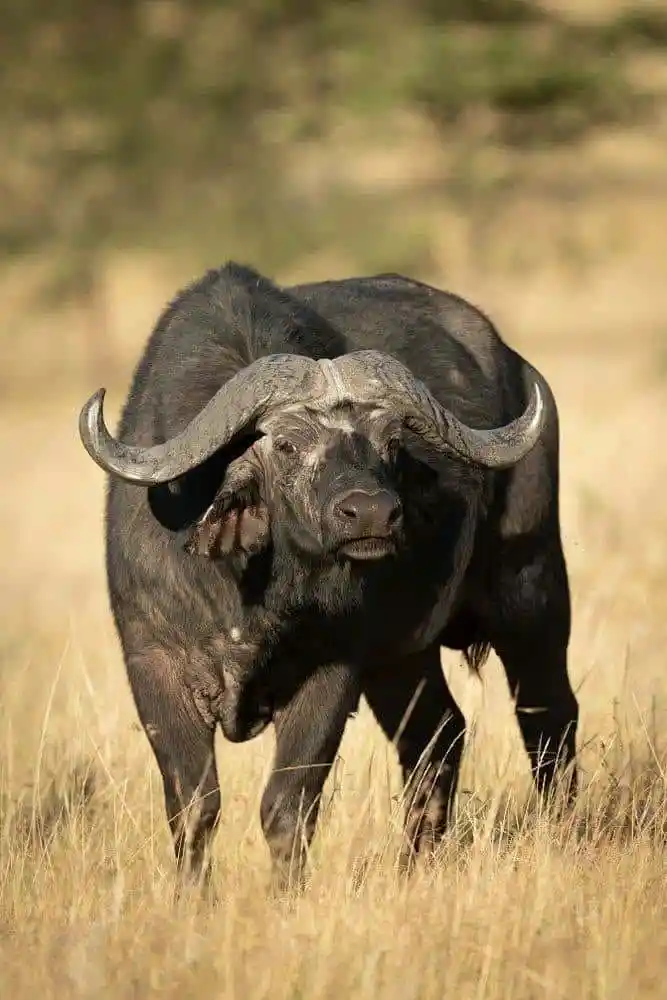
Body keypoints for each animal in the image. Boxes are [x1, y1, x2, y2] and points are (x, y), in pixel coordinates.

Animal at [78, 262, 578, 892]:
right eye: (288, 444)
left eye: (390, 441)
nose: (372, 514)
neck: (252, 590)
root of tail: (517, 366)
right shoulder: (154, 666)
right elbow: (193, 809)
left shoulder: (332, 671)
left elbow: (287, 804)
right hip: (401, 657)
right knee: (437, 735)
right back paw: (414, 864)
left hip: (532, 593)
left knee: (548, 718)